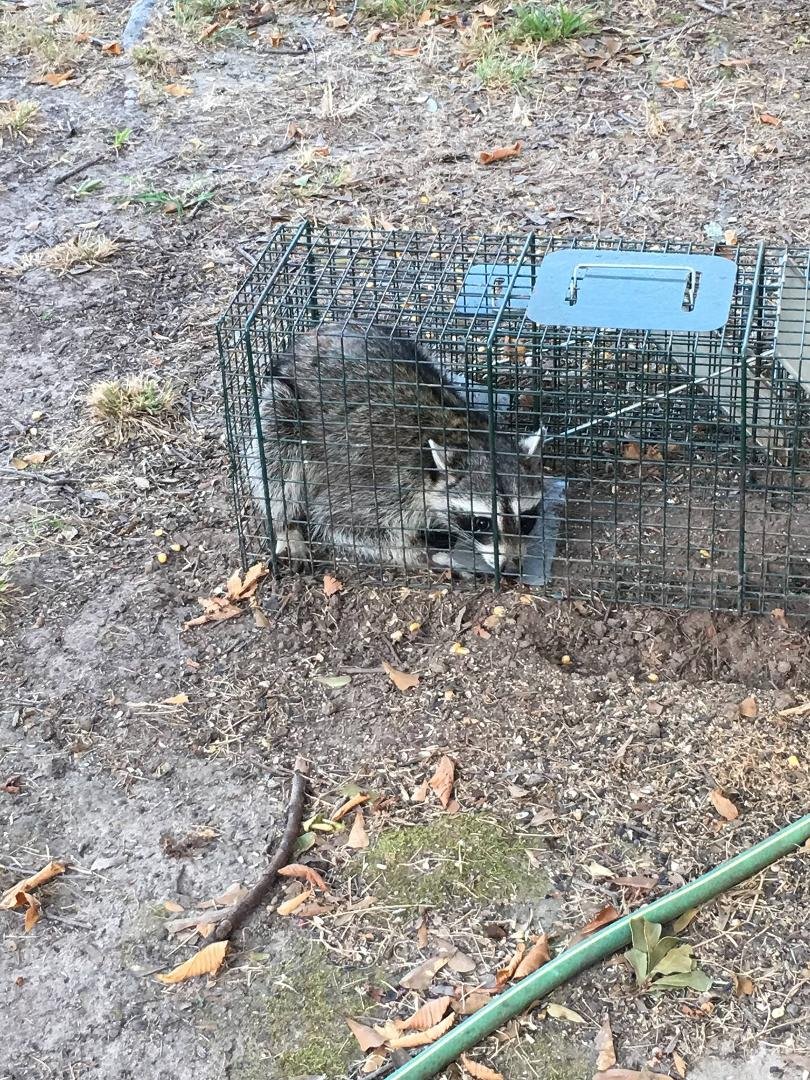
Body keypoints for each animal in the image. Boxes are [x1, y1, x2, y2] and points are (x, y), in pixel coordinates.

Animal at [248, 322, 555, 574]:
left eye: (527, 519)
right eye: (482, 523)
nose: (512, 567)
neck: (464, 433)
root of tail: (304, 340)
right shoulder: (385, 487)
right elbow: (338, 519)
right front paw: (415, 552)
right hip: (284, 405)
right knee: (277, 459)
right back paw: (286, 526)